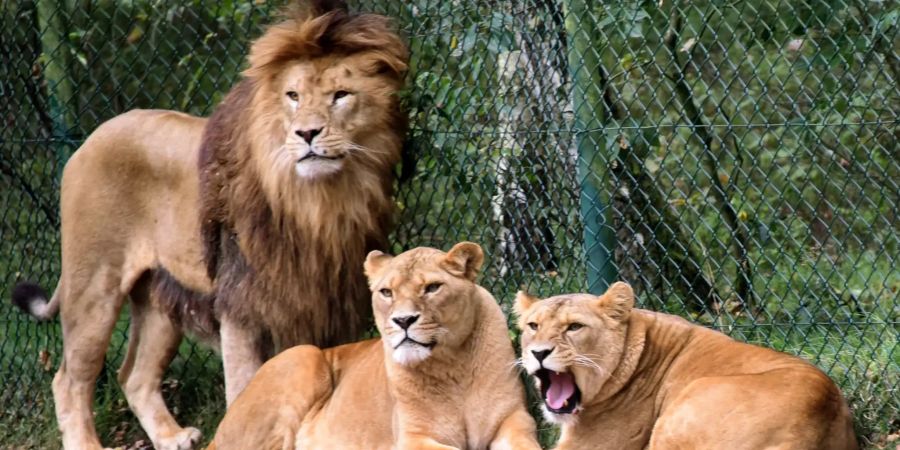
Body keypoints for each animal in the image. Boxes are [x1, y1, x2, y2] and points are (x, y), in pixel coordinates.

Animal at [12, 1, 406, 448]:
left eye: (340, 95)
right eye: (292, 96)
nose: (306, 133)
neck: (318, 203)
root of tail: (90, 138)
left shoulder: (322, 304)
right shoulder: (241, 306)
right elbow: (246, 390)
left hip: (161, 297)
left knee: (134, 376)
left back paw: (171, 437)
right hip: (94, 284)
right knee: (69, 380)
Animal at [205, 243, 540, 450]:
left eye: (432, 288)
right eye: (386, 292)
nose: (403, 320)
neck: (451, 366)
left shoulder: (514, 421)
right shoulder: (412, 437)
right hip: (304, 354)